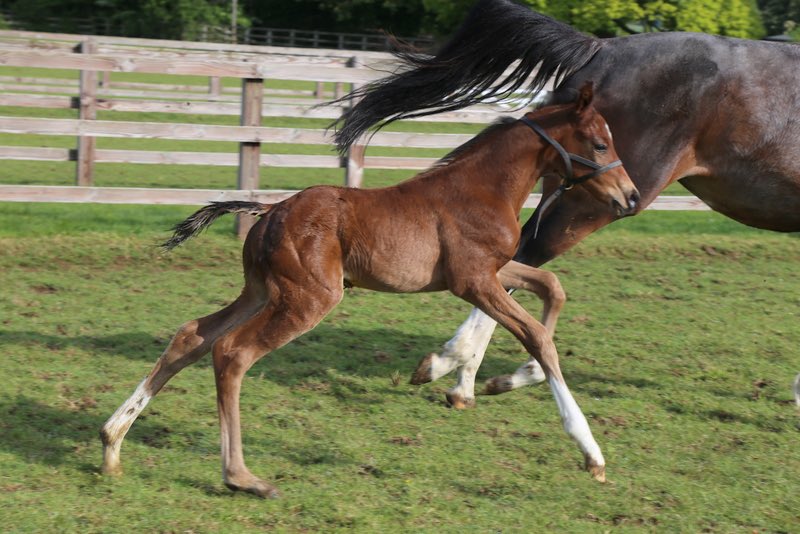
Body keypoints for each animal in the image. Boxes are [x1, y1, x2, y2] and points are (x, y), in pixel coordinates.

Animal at [99, 84, 638, 497]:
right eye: (598, 144)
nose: (630, 197)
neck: (484, 188)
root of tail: (269, 211)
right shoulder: (473, 281)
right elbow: (538, 336)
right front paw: (591, 452)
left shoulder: (493, 271)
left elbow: (552, 288)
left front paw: (484, 377)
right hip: (307, 299)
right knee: (231, 352)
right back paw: (241, 477)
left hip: (261, 291)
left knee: (192, 335)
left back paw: (111, 444)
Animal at [331, 0, 800, 408]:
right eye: (600, 142)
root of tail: (601, 47)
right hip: (595, 201)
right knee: (521, 257)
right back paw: (468, 371)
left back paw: (465, 375)